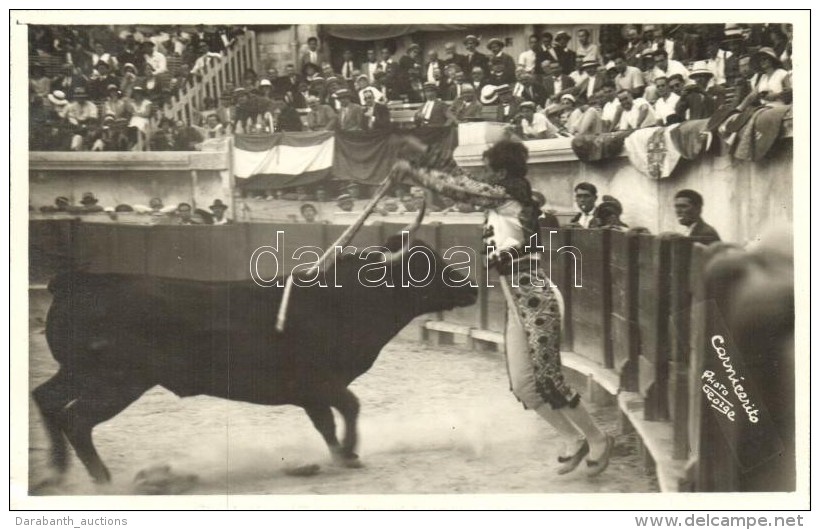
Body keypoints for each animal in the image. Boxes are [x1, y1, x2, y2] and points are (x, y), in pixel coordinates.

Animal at [33, 233, 480, 480]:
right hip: (117, 381)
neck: (344, 300)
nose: (473, 288)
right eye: (425, 266)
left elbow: (326, 423)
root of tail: (74, 282)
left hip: (78, 373)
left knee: (46, 398)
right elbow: (350, 407)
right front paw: (351, 453)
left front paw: (339, 454)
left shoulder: (312, 394)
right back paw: (103, 478)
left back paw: (56, 471)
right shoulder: (320, 383)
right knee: (77, 419)